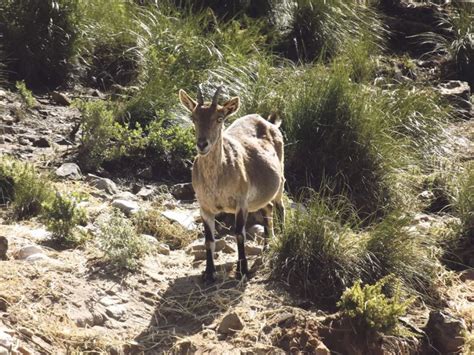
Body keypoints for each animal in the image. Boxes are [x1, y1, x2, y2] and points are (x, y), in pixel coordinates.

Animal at [180, 86, 286, 284]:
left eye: (219, 118)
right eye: (194, 117)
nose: (202, 144)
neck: (217, 181)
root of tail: (269, 122)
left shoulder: (241, 202)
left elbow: (239, 234)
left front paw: (242, 270)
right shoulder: (204, 206)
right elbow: (209, 239)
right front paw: (209, 272)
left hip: (280, 181)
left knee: (279, 207)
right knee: (267, 208)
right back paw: (267, 245)